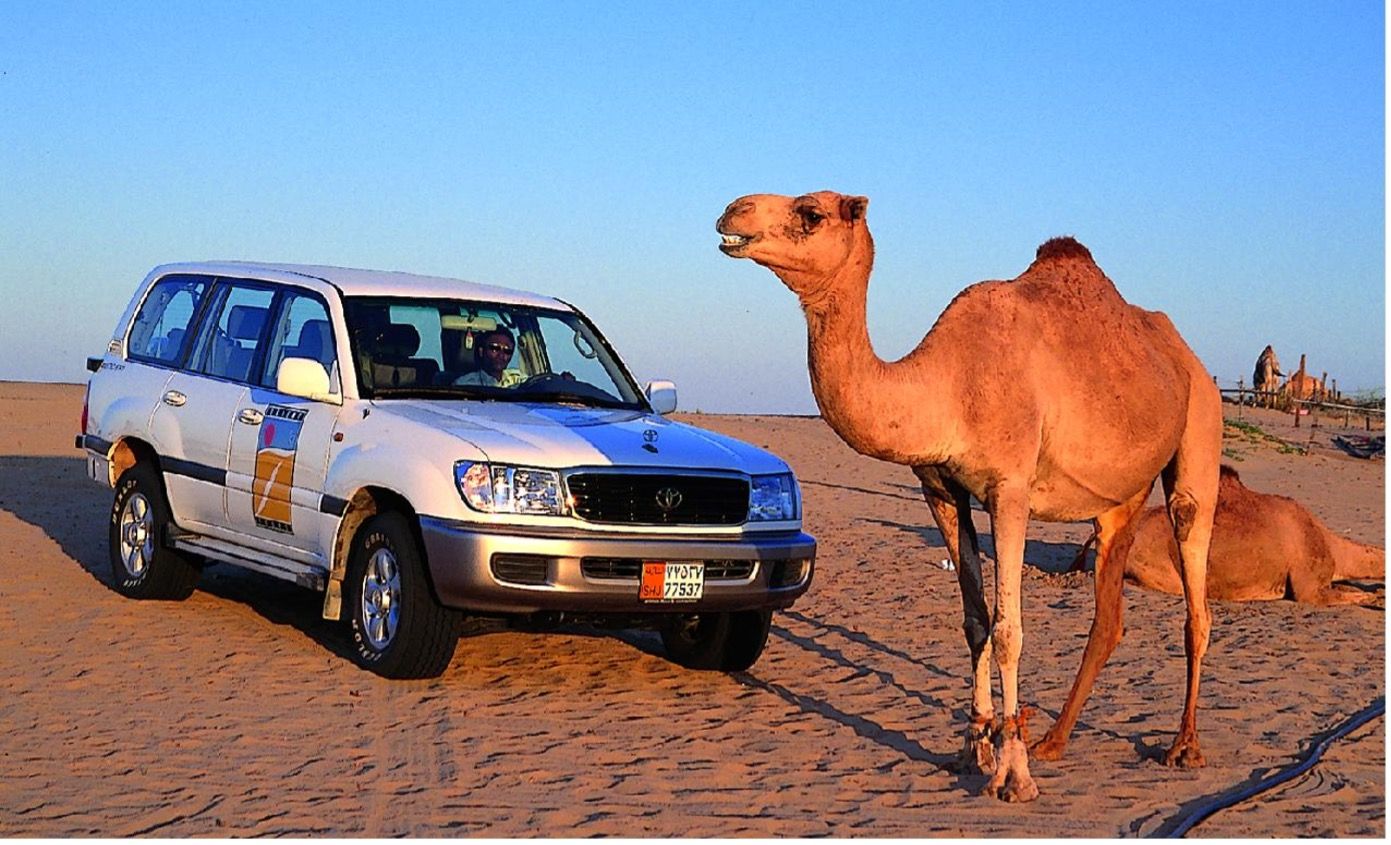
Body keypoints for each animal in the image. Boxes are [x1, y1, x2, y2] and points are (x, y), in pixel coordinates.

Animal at [716, 191, 1221, 802]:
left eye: (811, 213)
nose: (733, 210)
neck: (948, 387)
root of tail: (1188, 357)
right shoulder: (940, 489)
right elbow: (975, 620)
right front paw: (971, 747)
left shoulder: (1011, 490)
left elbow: (1007, 631)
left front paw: (1013, 773)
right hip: (1118, 497)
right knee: (1109, 615)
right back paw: (1055, 740)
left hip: (1200, 430)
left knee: (1195, 592)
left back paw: (1183, 746)